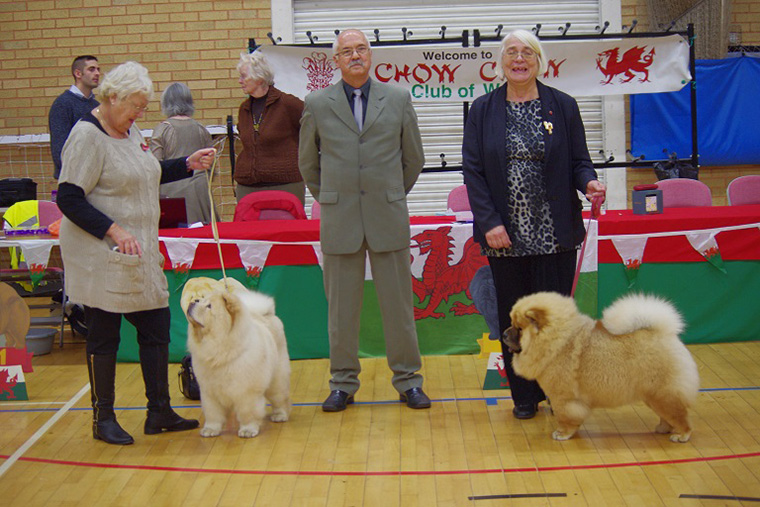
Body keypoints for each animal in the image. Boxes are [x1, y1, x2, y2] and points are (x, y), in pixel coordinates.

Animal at [180, 280, 292, 438]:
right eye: (200, 301)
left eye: (209, 306)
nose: (191, 304)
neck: (221, 351)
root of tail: (268, 314)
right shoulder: (209, 392)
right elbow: (213, 413)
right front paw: (210, 430)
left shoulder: (246, 392)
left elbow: (248, 412)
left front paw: (247, 430)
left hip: (277, 380)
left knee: (280, 398)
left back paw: (280, 416)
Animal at [504, 292, 700, 442]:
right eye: (512, 324)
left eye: (519, 329)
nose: (504, 333)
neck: (557, 342)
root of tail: (665, 334)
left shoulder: (564, 398)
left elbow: (566, 417)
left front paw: (562, 434)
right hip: (654, 395)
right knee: (668, 415)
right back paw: (663, 428)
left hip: (663, 394)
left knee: (681, 416)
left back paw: (681, 435)